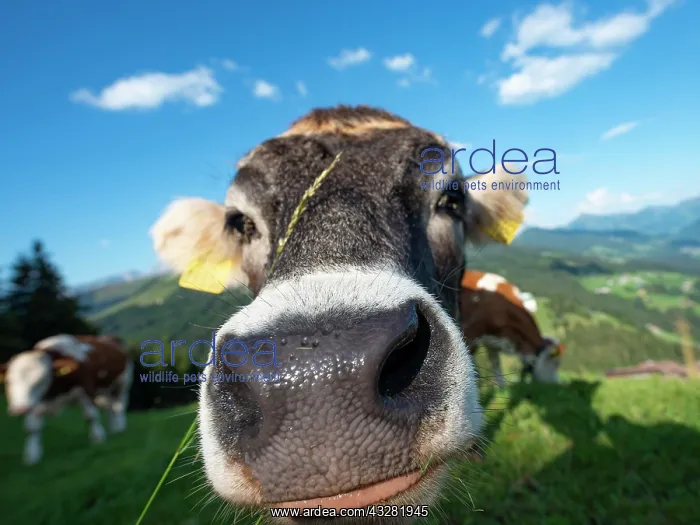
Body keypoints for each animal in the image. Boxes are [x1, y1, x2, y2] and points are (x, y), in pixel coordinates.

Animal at [0, 334, 133, 465]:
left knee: (119, 406)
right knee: (110, 407)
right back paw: (113, 428)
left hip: (123, 384)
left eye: (41, 380)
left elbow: (91, 416)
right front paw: (32, 455)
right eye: (8, 381)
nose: (20, 409)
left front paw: (98, 438)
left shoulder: (86, 390)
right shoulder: (36, 403)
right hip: (105, 391)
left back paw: (120, 427)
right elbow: (32, 428)